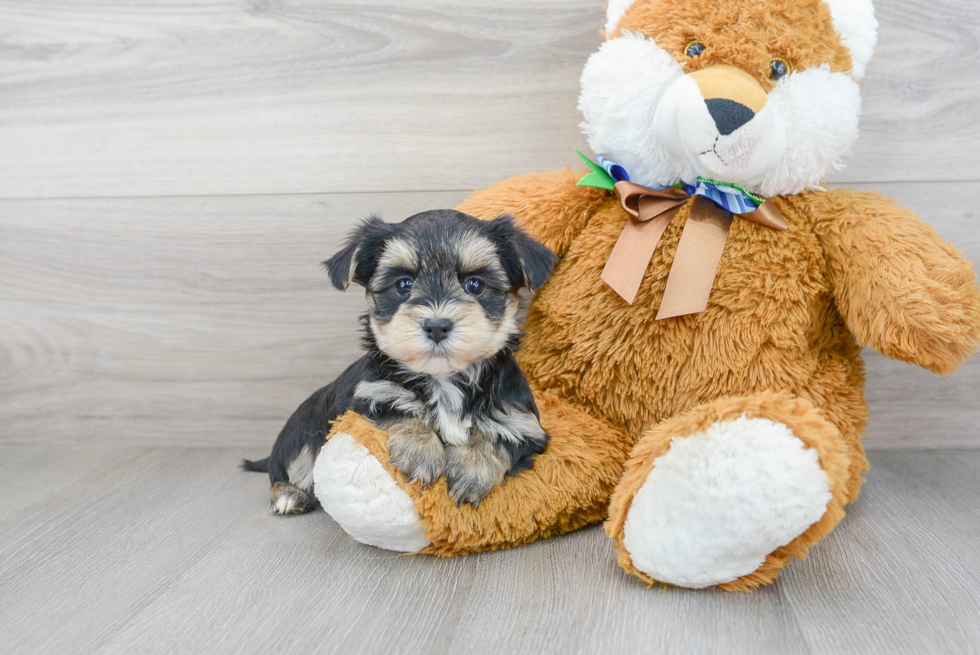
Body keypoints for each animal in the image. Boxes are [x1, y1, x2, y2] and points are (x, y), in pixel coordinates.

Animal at [242, 208, 556, 516]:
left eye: (475, 285)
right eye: (403, 284)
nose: (437, 325)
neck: (444, 378)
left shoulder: (522, 424)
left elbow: (498, 437)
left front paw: (473, 469)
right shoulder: (367, 398)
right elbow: (399, 410)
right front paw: (420, 451)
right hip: (303, 428)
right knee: (293, 462)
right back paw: (289, 494)